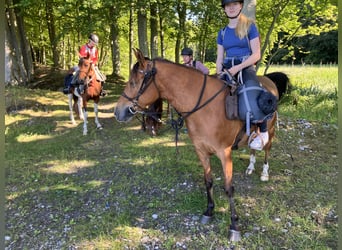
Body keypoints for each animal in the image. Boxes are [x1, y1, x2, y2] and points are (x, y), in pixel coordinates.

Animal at [115, 48, 288, 240]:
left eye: (133, 82)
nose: (118, 112)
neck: (205, 108)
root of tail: (269, 82)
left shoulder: (224, 152)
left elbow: (229, 188)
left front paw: (234, 225)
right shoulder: (201, 151)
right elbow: (208, 181)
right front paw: (209, 211)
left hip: (270, 131)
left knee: (267, 149)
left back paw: (264, 172)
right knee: (253, 149)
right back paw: (250, 167)